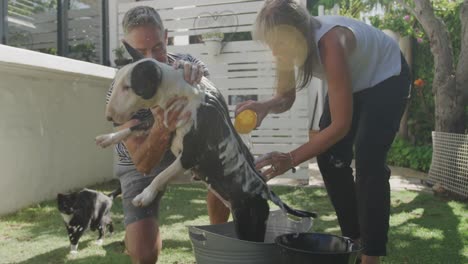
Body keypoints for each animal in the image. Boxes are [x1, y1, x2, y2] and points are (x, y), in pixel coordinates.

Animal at [96, 40, 316, 241]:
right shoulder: (161, 122)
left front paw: (145, 195)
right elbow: (136, 126)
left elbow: (161, 175)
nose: (109, 117)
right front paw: (107, 138)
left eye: (128, 87)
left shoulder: (191, 155)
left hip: (249, 222)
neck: (177, 92)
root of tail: (266, 191)